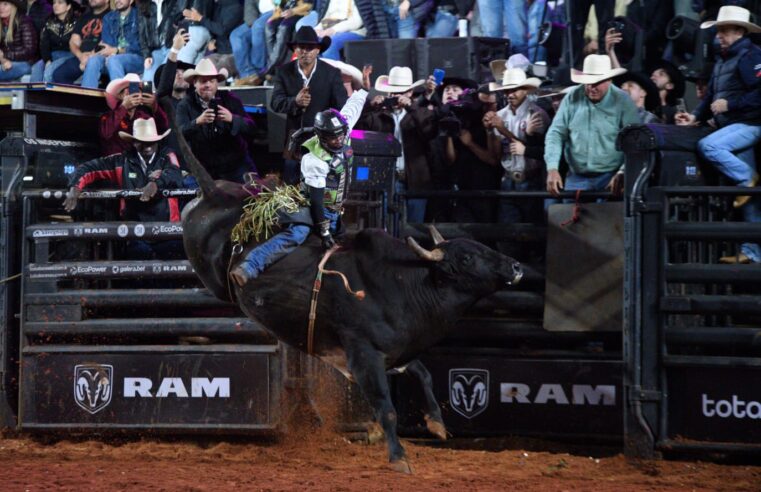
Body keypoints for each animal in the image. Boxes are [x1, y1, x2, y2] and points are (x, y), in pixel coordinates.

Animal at [168, 98, 524, 470]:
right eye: (466, 258)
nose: (515, 265)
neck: (405, 284)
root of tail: (215, 193)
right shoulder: (363, 356)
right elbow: (386, 408)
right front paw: (398, 457)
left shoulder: (395, 352)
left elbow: (423, 374)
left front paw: (437, 424)